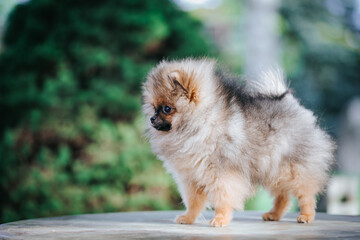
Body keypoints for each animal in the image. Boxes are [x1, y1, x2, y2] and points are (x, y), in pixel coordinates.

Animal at [141, 58, 334, 227]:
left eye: (167, 108)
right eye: (154, 108)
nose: (151, 118)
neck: (200, 123)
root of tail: (293, 104)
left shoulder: (222, 174)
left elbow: (222, 198)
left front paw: (220, 219)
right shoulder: (191, 177)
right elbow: (194, 201)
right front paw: (188, 218)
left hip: (294, 168)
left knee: (306, 193)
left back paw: (306, 215)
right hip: (272, 169)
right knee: (283, 196)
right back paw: (274, 214)